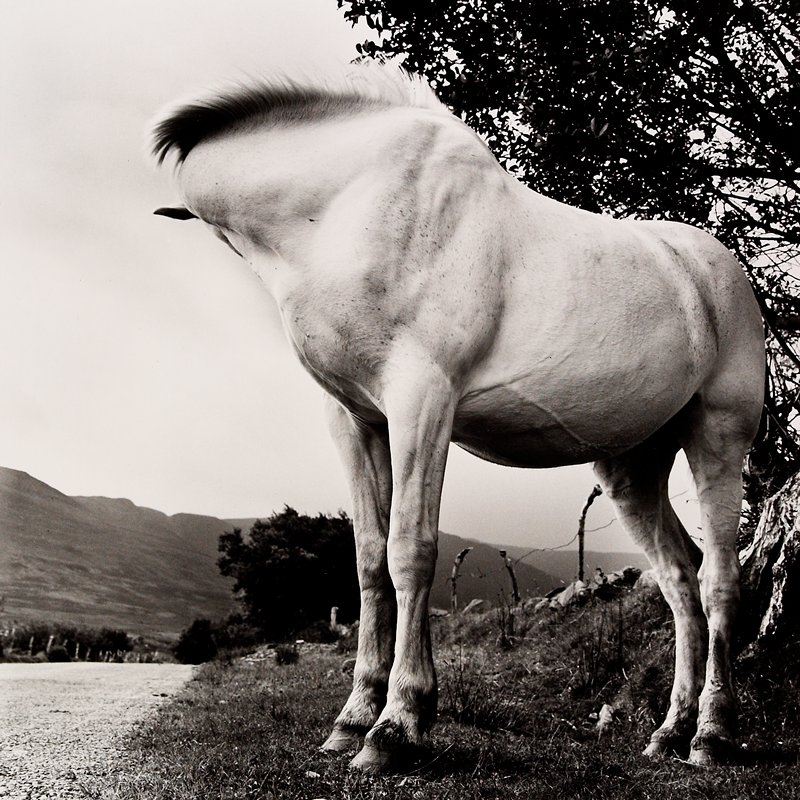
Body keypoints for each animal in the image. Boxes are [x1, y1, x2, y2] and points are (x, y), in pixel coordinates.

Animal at [150, 62, 765, 771]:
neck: (346, 201)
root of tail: (716, 273)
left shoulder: (421, 401)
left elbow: (410, 552)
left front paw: (396, 725)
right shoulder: (355, 419)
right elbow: (369, 560)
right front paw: (354, 719)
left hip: (718, 438)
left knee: (719, 577)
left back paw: (713, 732)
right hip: (631, 466)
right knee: (679, 577)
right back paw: (670, 731)